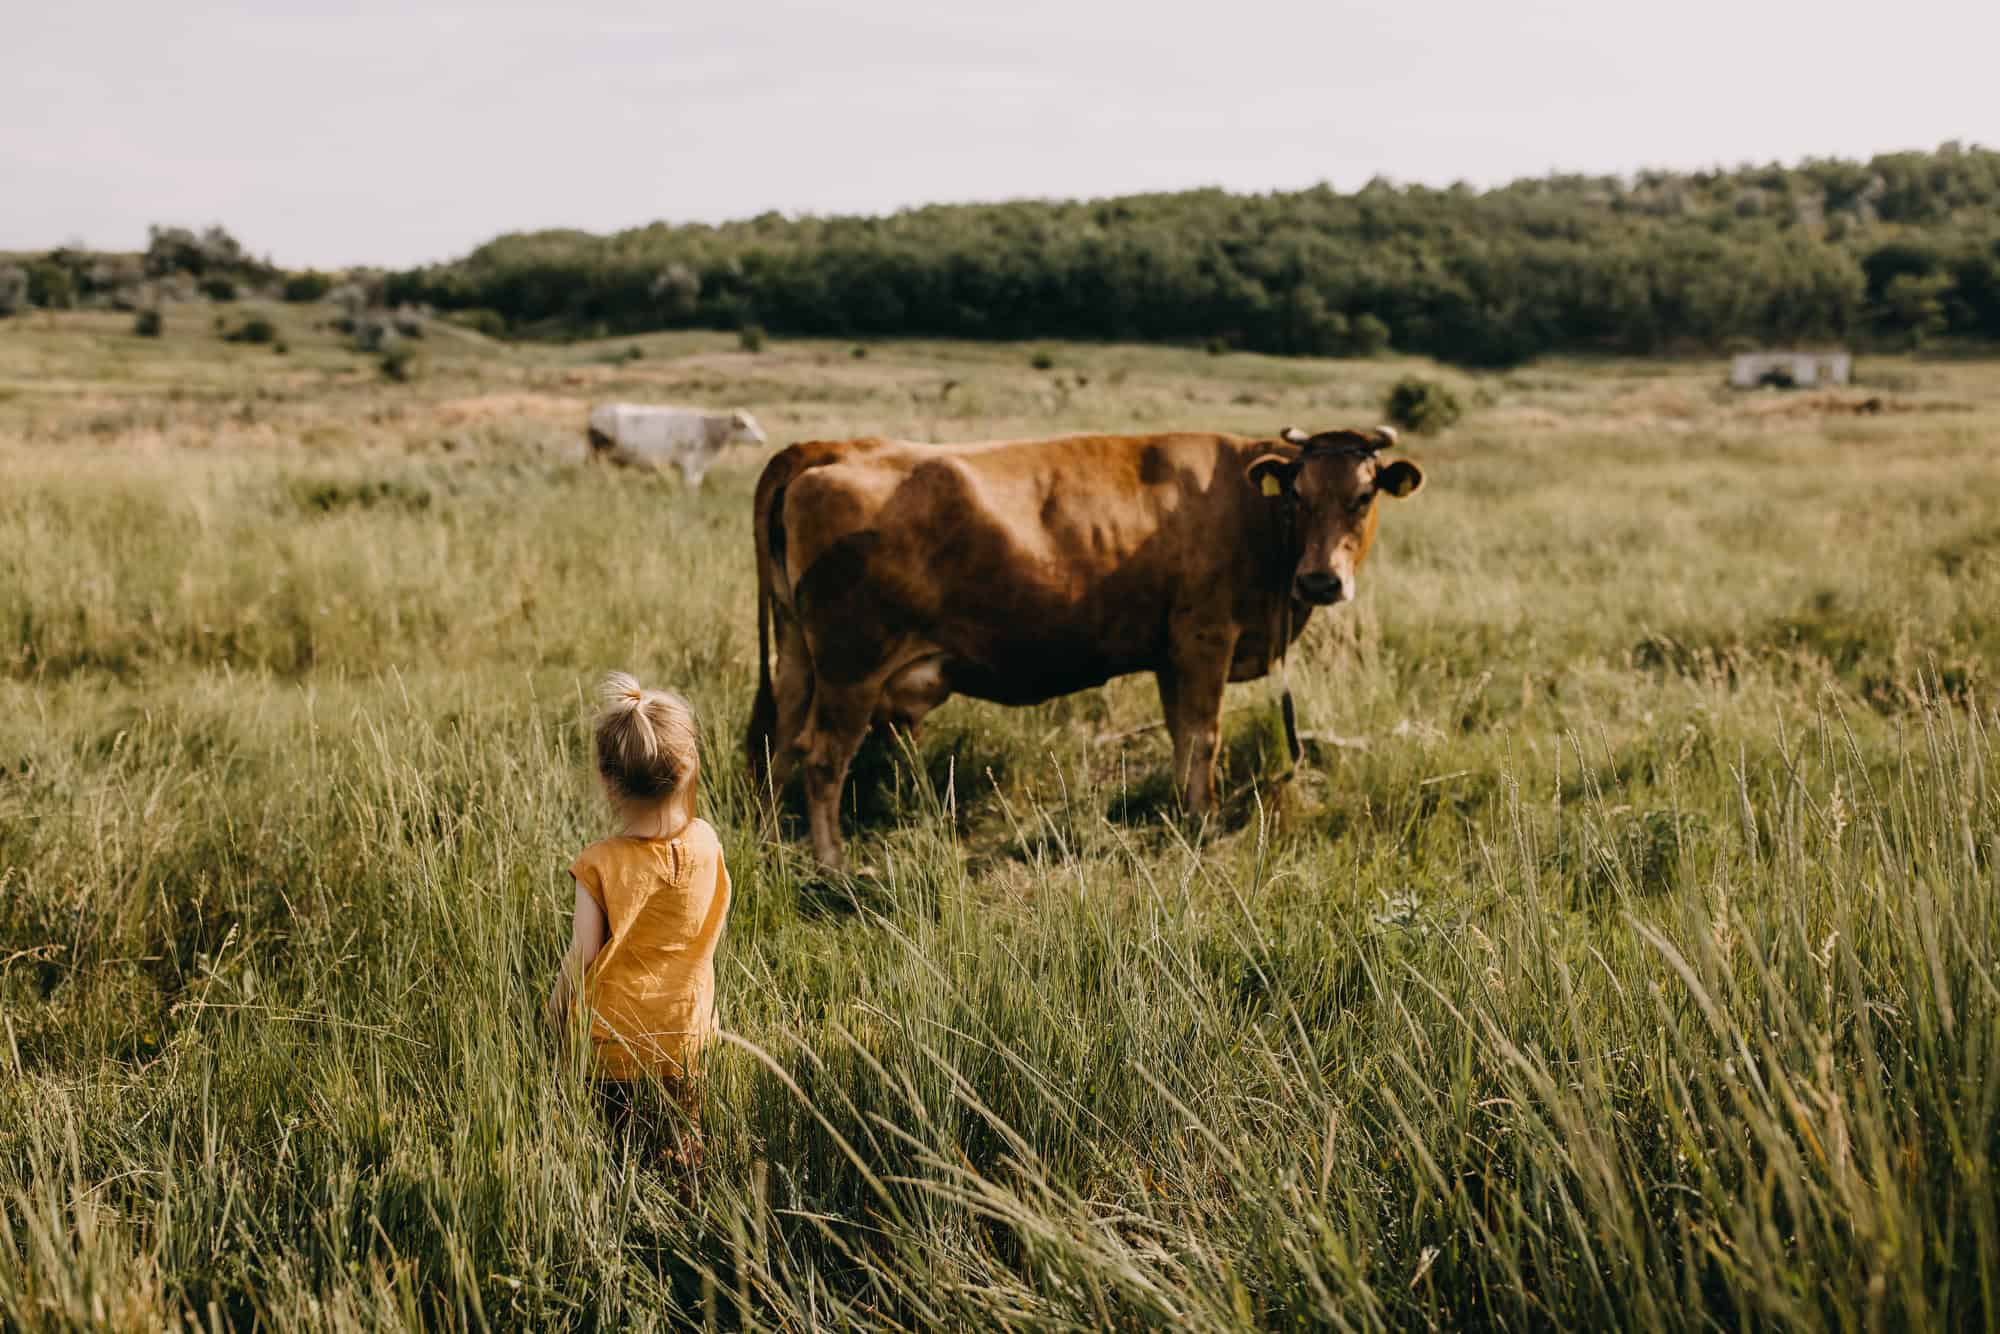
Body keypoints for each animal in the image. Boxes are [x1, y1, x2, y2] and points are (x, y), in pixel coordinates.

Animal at [586, 404, 768, 487]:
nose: (762, 439)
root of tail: (597, 414)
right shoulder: (689, 465)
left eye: (754, 422)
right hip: (600, 455)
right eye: (744, 425)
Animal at [744, 425, 1426, 868]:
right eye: (1299, 496)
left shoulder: (1173, 652)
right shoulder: (1205, 637)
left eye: (1362, 497)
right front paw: (1203, 823)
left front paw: (1186, 813)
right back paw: (832, 865)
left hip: (799, 657)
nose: (1321, 580)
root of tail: (833, 448)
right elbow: (1203, 736)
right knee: (821, 758)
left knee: (779, 743)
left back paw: (771, 840)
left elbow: (1182, 737)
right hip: (851, 668)